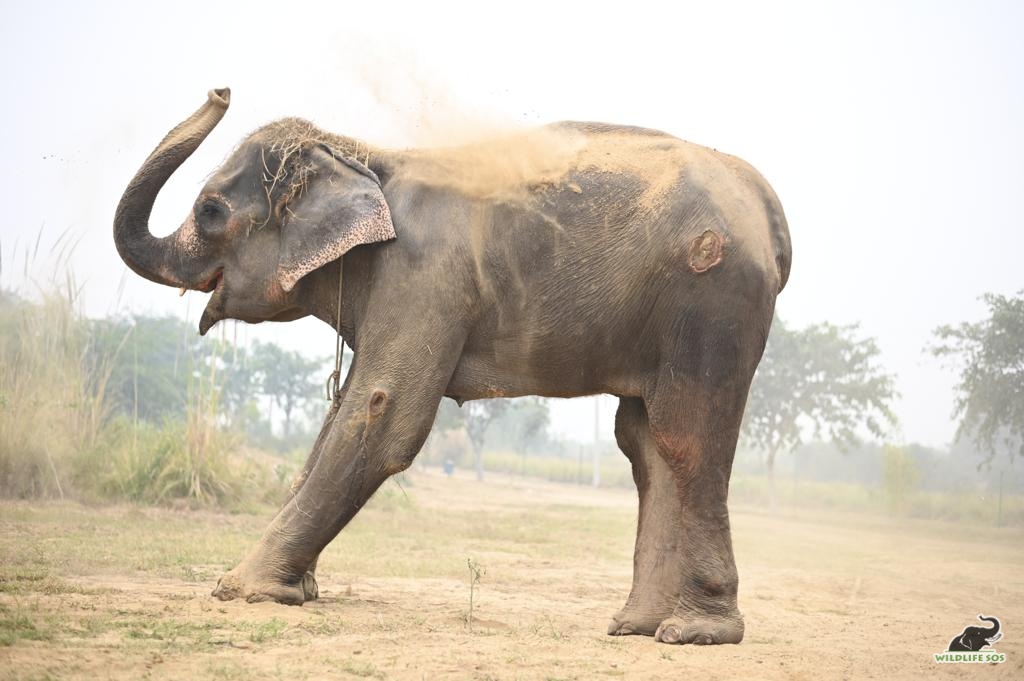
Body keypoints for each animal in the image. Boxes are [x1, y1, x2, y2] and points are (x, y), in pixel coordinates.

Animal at [116, 87, 794, 647]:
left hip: (712, 298)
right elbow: (345, 411)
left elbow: (383, 412)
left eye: (210, 211)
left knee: (686, 437)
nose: (220, 90)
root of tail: (768, 209)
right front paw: (294, 589)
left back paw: (695, 633)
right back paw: (635, 627)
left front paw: (242, 589)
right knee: (644, 443)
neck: (362, 155)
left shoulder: (424, 275)